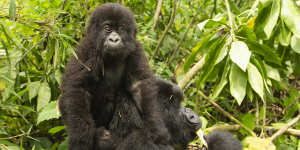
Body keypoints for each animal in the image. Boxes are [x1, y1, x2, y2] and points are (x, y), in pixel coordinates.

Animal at [58, 2, 152, 149]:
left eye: (121, 28)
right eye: (107, 28)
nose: (114, 39)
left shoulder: (136, 51)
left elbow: (140, 87)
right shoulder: (87, 50)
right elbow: (77, 89)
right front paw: (81, 140)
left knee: (125, 97)